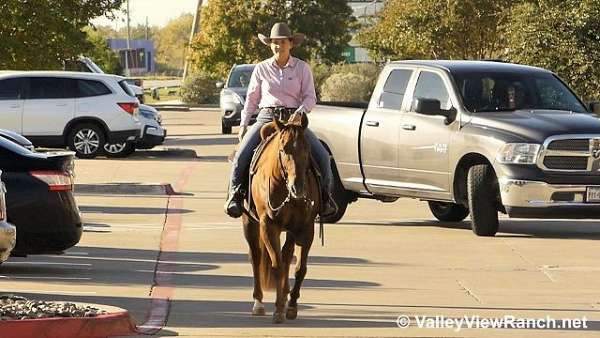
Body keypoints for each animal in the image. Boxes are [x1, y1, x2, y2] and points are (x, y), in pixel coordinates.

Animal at [241, 112, 322, 324]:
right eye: (283, 149)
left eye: (307, 149)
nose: (298, 187)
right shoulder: (269, 226)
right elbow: (276, 265)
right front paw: (277, 310)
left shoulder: (305, 227)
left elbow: (299, 268)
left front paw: (291, 306)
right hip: (249, 223)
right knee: (256, 257)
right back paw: (259, 303)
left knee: (287, 255)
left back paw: (285, 296)